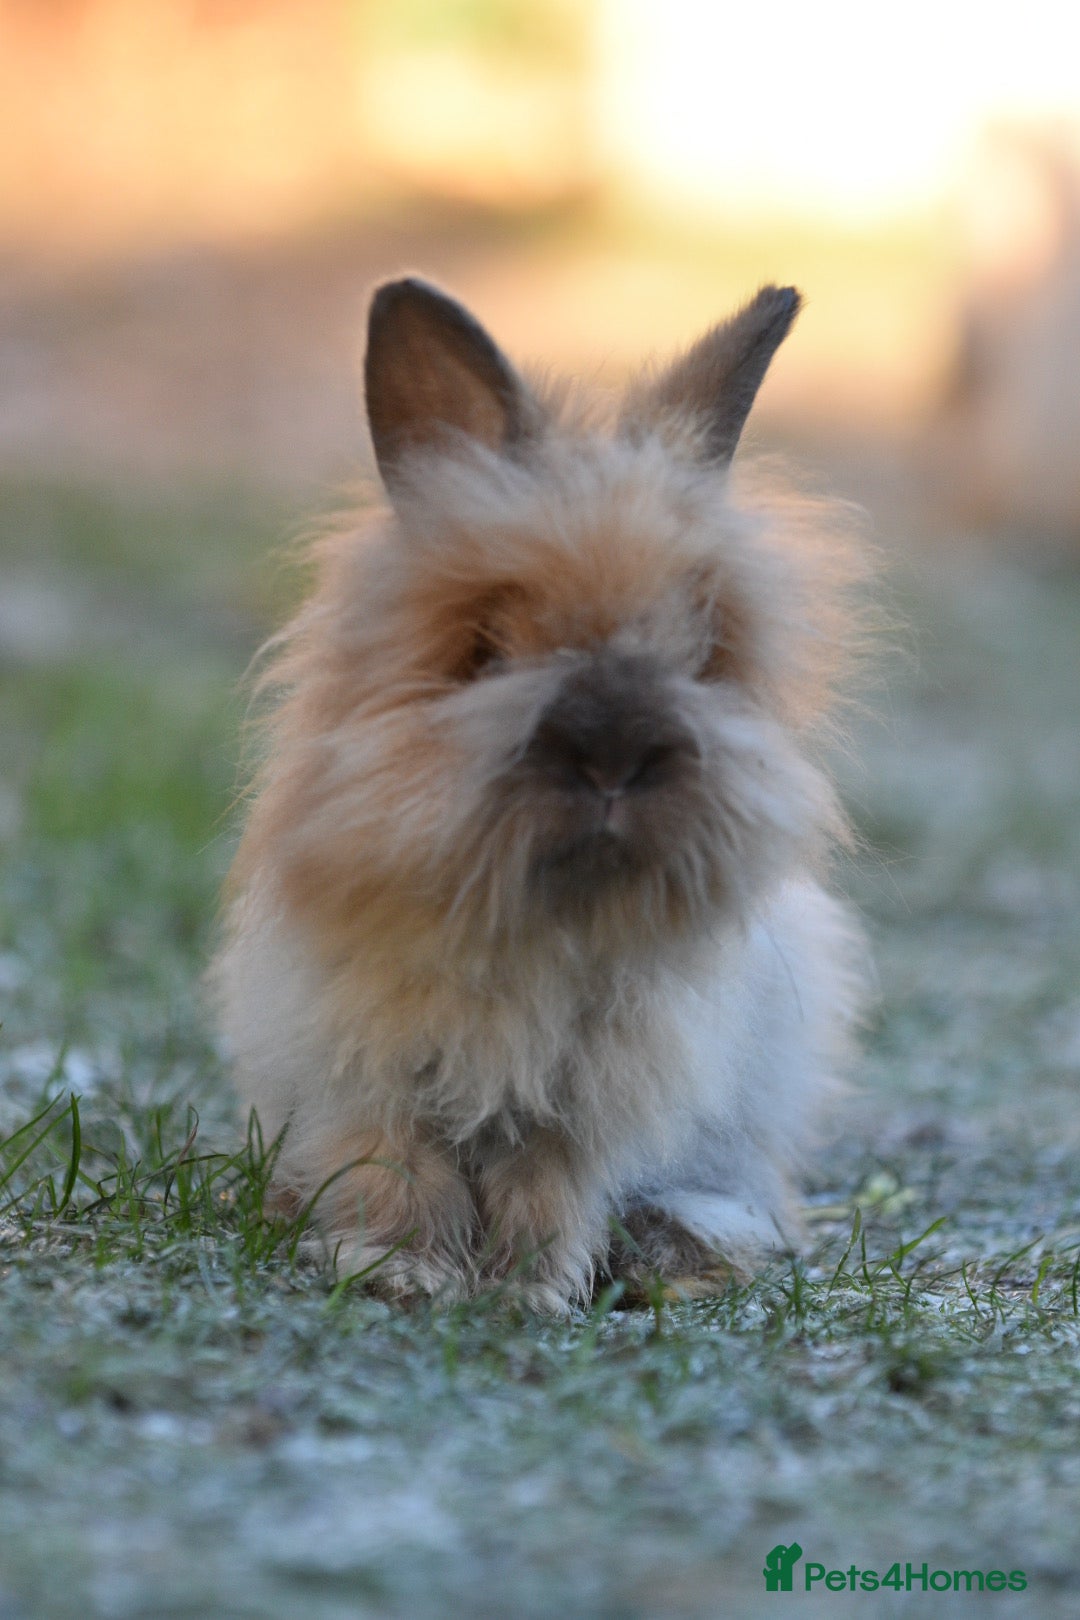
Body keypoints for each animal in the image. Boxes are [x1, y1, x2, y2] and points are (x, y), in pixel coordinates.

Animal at [212, 275, 869, 1313]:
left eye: (700, 652)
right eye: (485, 650)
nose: (613, 756)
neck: (536, 921)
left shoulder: (588, 1105)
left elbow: (547, 1191)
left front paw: (527, 1293)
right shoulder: (368, 1074)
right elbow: (397, 1171)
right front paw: (401, 1273)